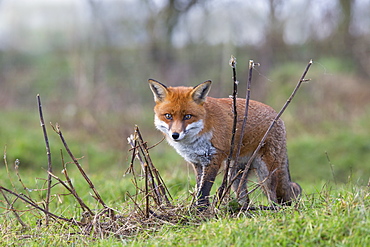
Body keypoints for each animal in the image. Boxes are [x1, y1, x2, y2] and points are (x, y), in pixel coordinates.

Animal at [147, 78, 300, 208]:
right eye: (168, 116)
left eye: (187, 116)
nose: (175, 135)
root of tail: (277, 117)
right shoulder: (197, 162)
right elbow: (199, 187)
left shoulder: (214, 158)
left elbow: (204, 190)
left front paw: (200, 211)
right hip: (235, 173)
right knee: (244, 197)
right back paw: (242, 209)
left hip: (266, 172)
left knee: (273, 197)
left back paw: (273, 209)